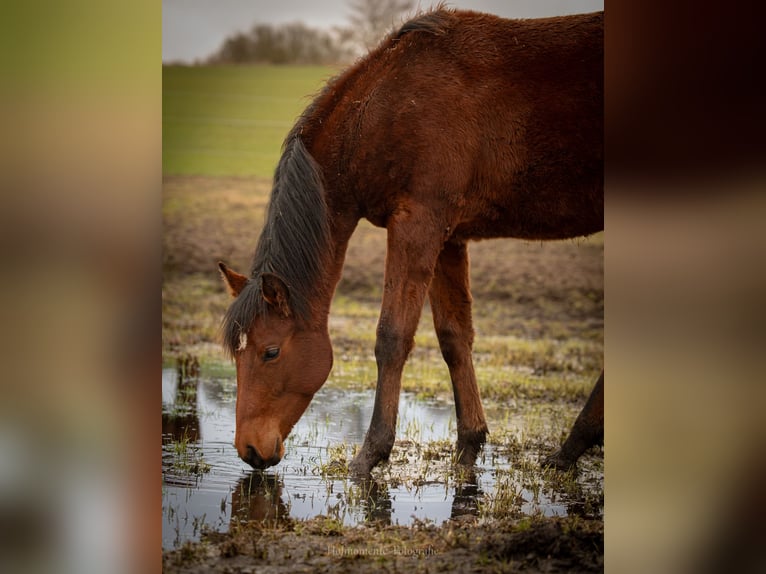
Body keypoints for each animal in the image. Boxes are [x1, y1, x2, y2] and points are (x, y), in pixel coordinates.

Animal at [218, 8, 604, 476]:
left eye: (270, 352)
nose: (249, 450)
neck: (383, 105)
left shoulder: (417, 226)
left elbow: (392, 337)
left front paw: (370, 454)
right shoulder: (448, 237)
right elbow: (454, 337)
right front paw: (469, 446)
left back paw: (574, 445)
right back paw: (572, 448)